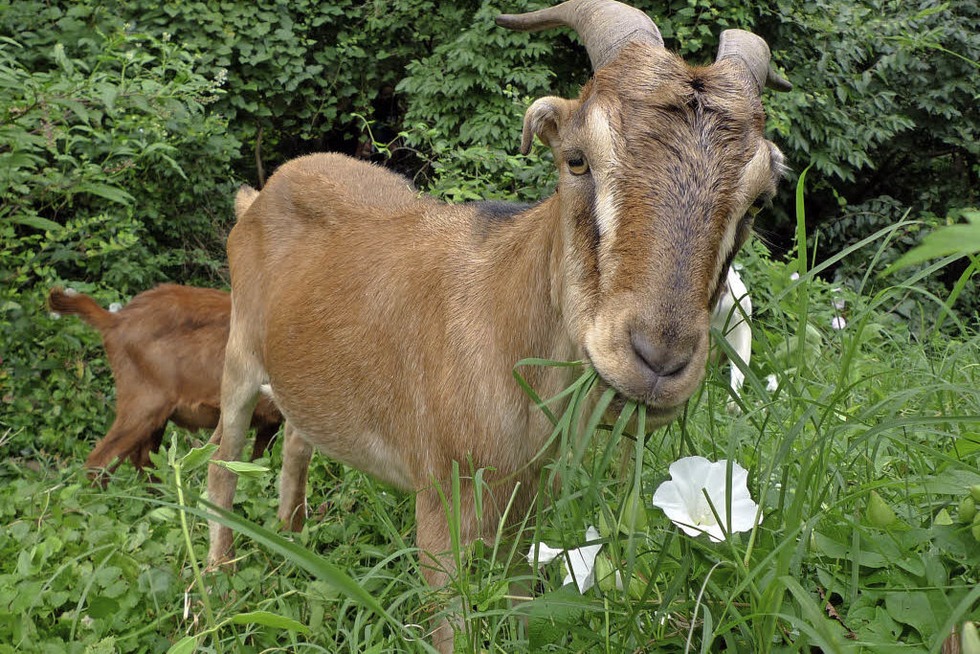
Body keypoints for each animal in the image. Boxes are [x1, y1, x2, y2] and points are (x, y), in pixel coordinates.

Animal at [48, 284, 284, 474]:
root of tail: (116, 319)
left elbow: (259, 464)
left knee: (145, 461)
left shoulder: (272, 420)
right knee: (101, 460)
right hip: (144, 402)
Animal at [205, 0, 788, 648]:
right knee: (220, 460)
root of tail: (258, 197)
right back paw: (215, 588)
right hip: (238, 357)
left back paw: (295, 540)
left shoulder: (526, 515)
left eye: (759, 199)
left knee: (297, 443)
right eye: (577, 160)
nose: (658, 359)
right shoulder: (444, 507)